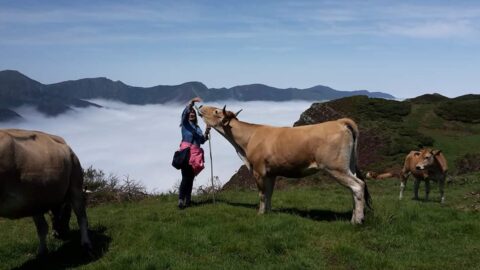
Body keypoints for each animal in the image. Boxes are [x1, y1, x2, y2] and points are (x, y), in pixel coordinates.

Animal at [199, 105, 372, 224]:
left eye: (216, 111)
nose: (200, 107)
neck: (246, 142)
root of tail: (340, 122)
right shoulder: (271, 172)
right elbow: (269, 193)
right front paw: (268, 212)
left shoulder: (259, 170)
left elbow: (262, 194)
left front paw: (260, 214)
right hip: (348, 166)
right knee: (354, 187)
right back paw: (354, 217)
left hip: (335, 167)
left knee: (358, 185)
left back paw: (357, 221)